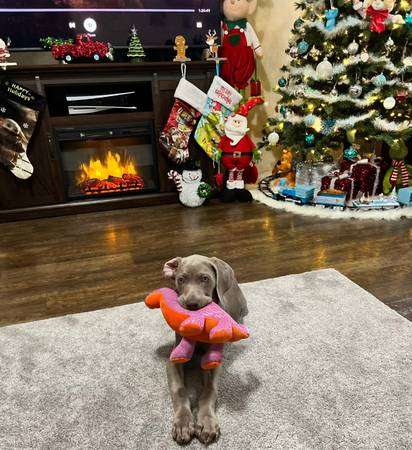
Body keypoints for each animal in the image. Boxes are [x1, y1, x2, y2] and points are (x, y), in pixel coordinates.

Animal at [163, 255, 248, 444]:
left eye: (204, 278)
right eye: (181, 279)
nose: (192, 304)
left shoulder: (214, 361)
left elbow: (210, 390)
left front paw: (207, 423)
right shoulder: (172, 360)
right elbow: (179, 389)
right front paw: (183, 423)